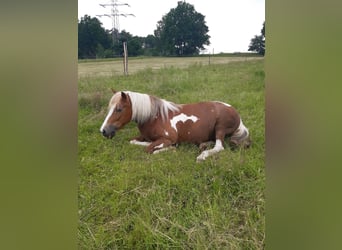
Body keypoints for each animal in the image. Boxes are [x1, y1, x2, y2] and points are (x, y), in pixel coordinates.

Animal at [100, 90, 250, 162]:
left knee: (219, 146)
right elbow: (134, 142)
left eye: (119, 109)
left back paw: (202, 156)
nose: (103, 131)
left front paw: (170, 148)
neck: (155, 117)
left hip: (220, 128)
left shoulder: (168, 138)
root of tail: (236, 113)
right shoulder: (144, 137)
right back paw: (203, 145)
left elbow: (150, 149)